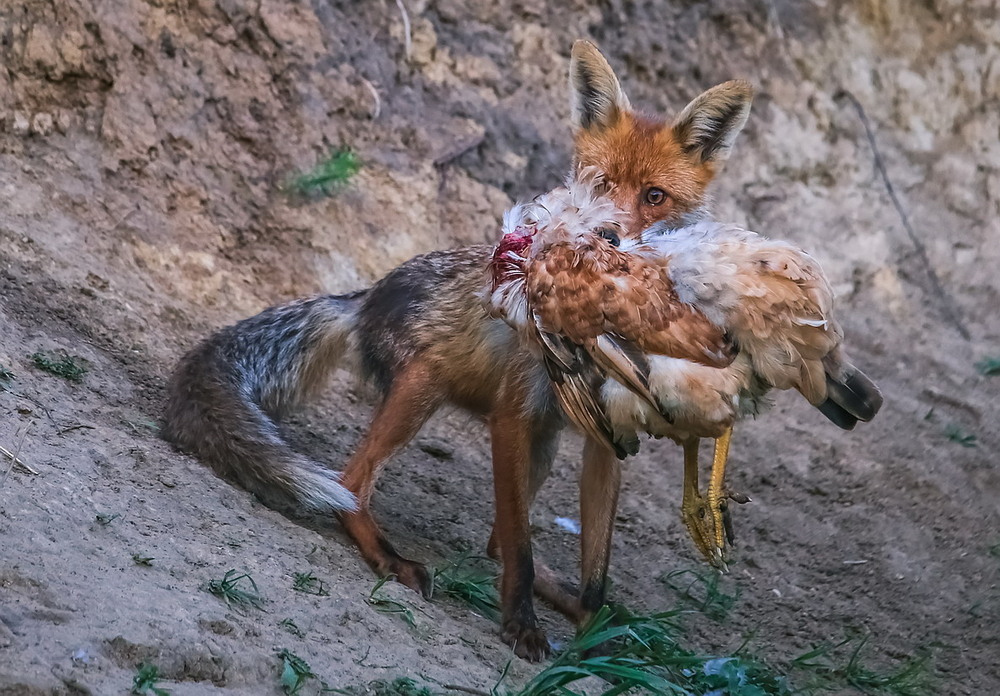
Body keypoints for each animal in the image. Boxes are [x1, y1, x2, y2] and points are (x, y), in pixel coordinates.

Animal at [162, 40, 752, 660]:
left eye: (654, 197)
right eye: (595, 184)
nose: (603, 238)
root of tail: (367, 294)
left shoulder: (607, 439)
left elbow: (593, 572)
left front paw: (591, 642)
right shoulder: (511, 417)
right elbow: (520, 548)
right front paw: (521, 626)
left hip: (541, 444)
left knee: (493, 542)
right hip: (425, 386)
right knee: (355, 485)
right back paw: (389, 558)